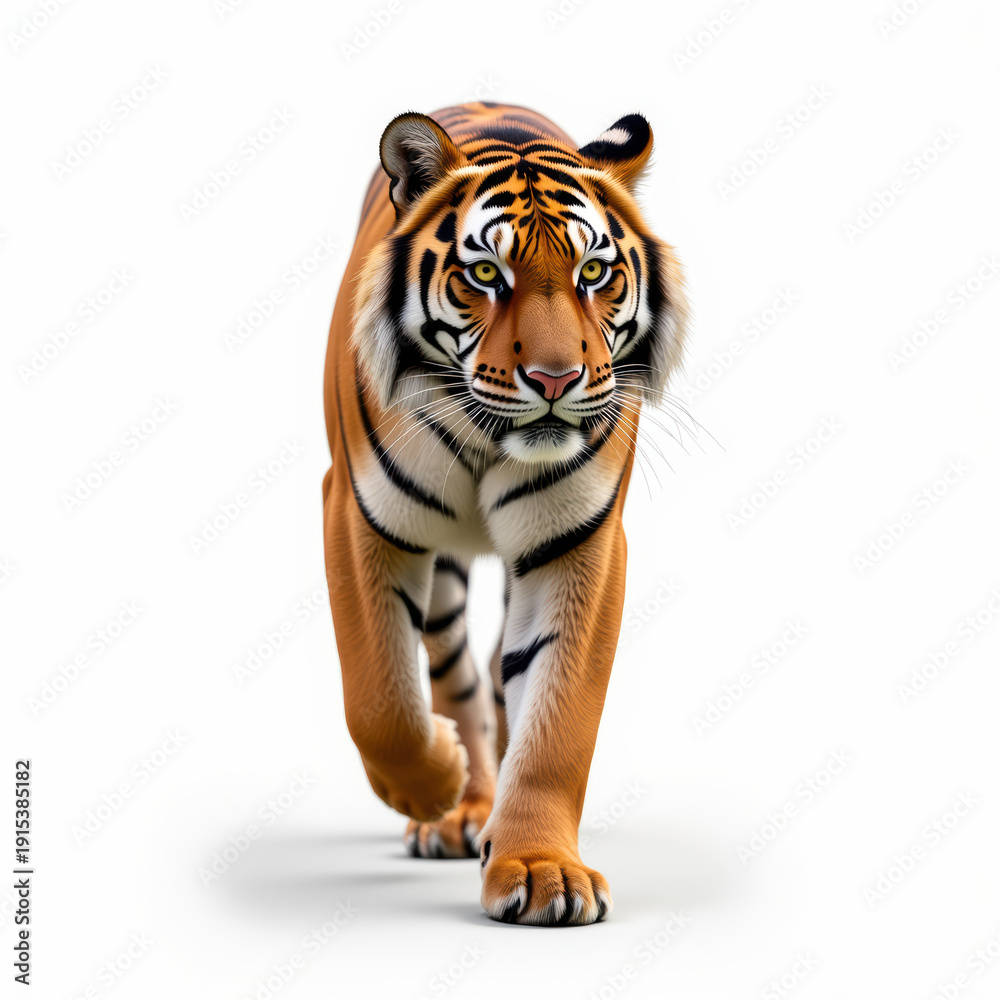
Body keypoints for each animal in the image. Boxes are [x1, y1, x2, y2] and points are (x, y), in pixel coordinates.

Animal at [321, 101, 688, 926]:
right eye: (486, 274)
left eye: (594, 273)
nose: (555, 379)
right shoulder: (358, 514)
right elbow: (380, 702)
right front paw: (432, 784)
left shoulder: (580, 542)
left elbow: (556, 720)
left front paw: (543, 870)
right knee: (451, 672)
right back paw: (458, 807)